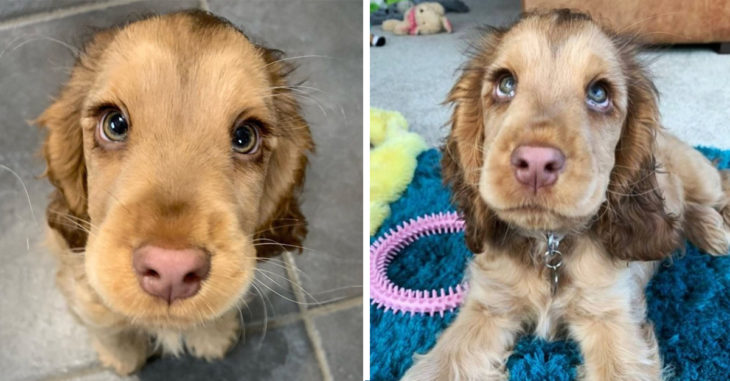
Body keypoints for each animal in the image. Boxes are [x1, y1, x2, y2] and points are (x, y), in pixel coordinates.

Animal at [37, 11, 310, 374]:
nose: (171, 270)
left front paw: (213, 338)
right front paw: (123, 358)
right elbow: (104, 320)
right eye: (114, 124)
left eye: (245, 137)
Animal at [400, 8, 728, 380]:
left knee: (716, 184)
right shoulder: (487, 306)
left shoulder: (611, 317)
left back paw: (715, 231)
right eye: (505, 84)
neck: (548, 244)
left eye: (599, 93)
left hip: (700, 176)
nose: (536, 164)